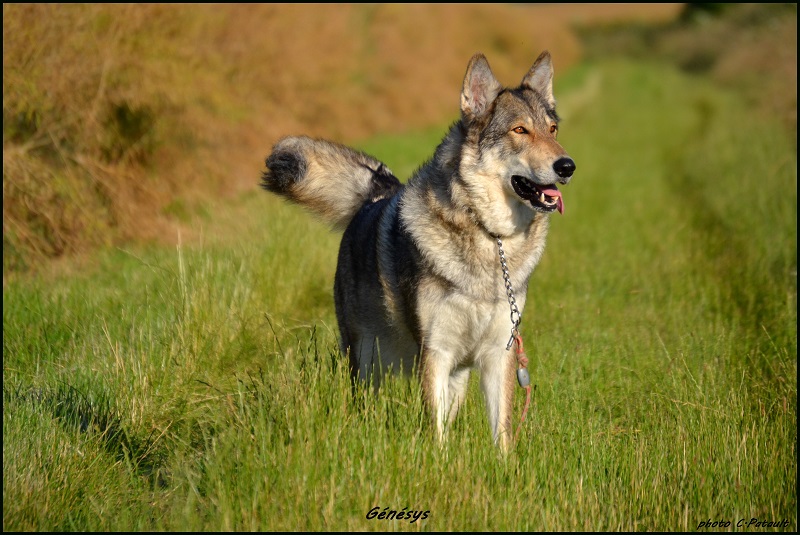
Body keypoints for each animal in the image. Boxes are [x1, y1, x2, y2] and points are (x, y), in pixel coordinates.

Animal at [262, 53, 576, 448]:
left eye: (553, 130)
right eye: (520, 130)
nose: (567, 166)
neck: (491, 238)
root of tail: (380, 190)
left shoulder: (498, 352)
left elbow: (501, 434)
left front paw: (501, 464)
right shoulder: (435, 352)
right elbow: (436, 433)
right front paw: (439, 462)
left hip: (456, 373)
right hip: (366, 360)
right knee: (364, 404)